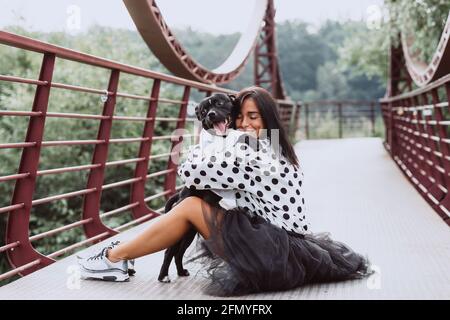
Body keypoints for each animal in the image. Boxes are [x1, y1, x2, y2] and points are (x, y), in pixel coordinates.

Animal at [156, 92, 237, 282]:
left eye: (219, 103)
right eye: (204, 111)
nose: (211, 115)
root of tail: (180, 196)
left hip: (189, 233)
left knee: (178, 253)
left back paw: (181, 271)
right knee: (169, 251)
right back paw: (163, 275)